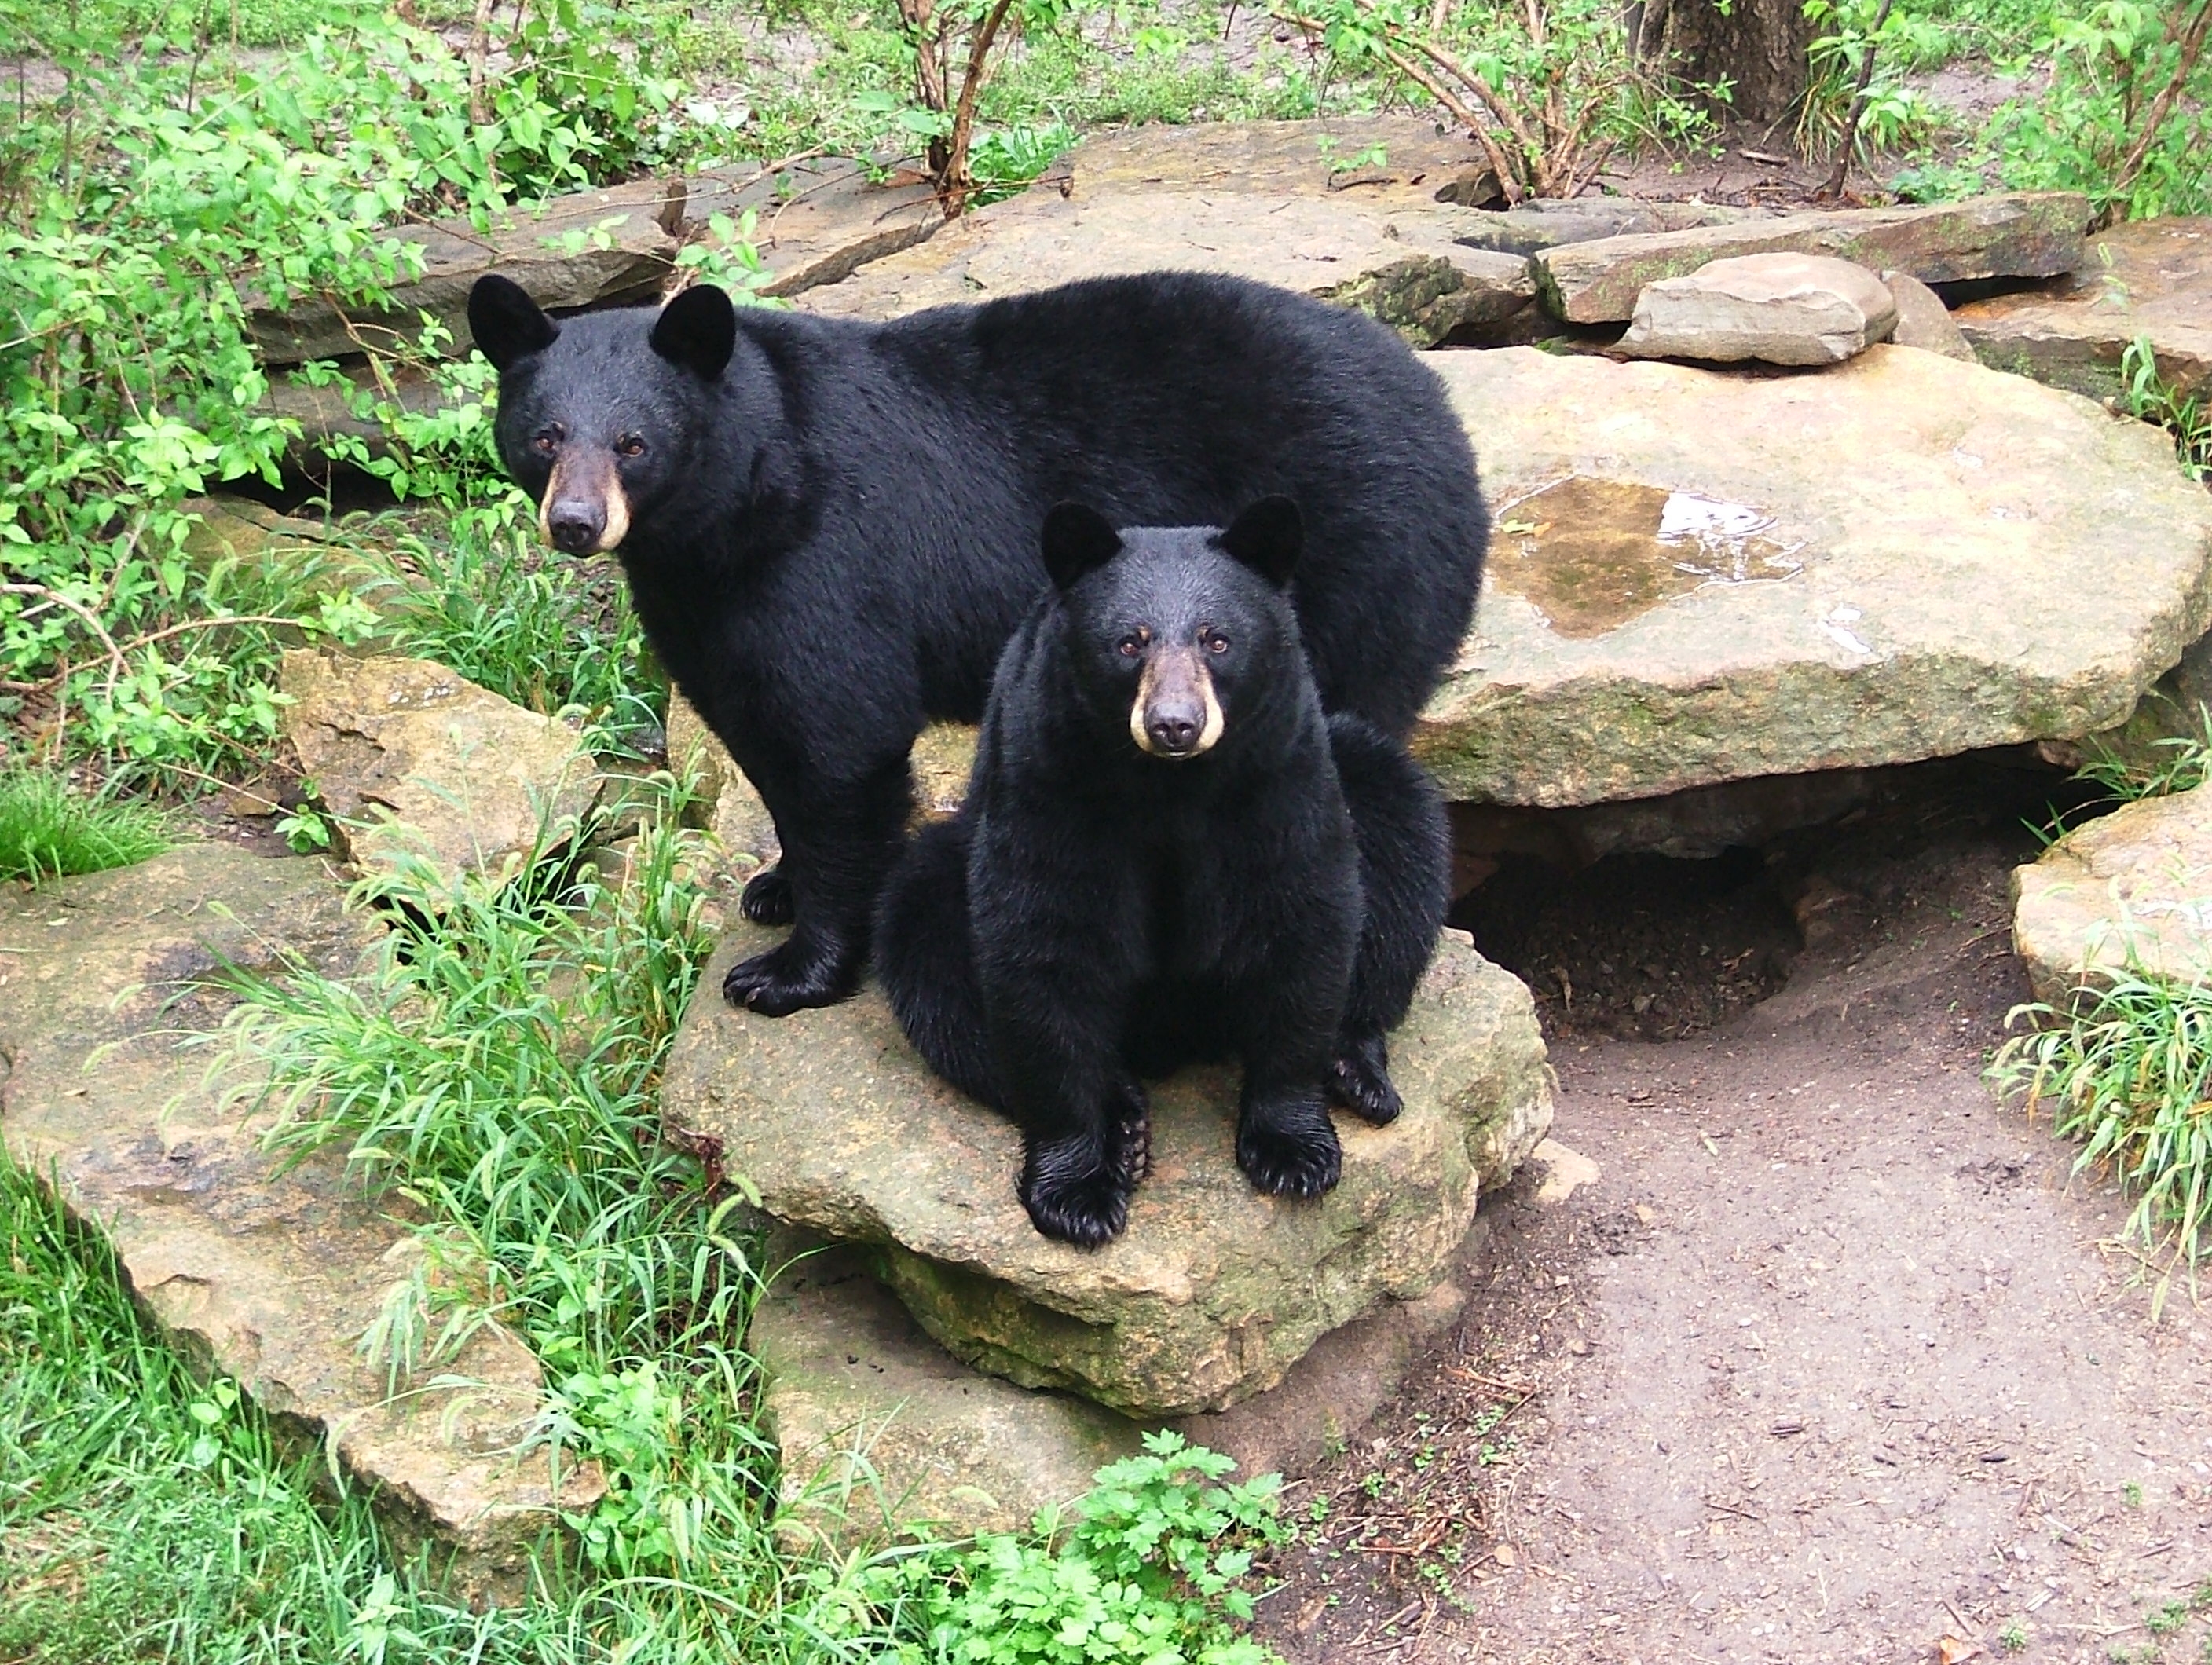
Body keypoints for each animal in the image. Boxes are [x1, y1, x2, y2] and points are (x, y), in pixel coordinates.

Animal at [475, 266, 1495, 1012]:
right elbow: (758, 732)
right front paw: (774, 884)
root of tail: (1444, 413)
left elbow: (837, 743)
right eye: (545, 434)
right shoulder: (702, 598)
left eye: (634, 442)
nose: (574, 523)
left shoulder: (823, 560)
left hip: (1362, 567)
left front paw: (790, 970)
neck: (734, 508)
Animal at [862, 500, 1451, 1238]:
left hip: (1361, 771)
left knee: (1401, 847)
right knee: (929, 949)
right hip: (948, 858)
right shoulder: (1049, 781)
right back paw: (1125, 1121)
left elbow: (1302, 916)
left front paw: (1293, 1150)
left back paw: (1356, 1069)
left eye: (1217, 640)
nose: (1175, 724)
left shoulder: (1280, 776)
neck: (1171, 787)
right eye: (1129, 643)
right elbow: (1045, 946)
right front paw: (1076, 1190)